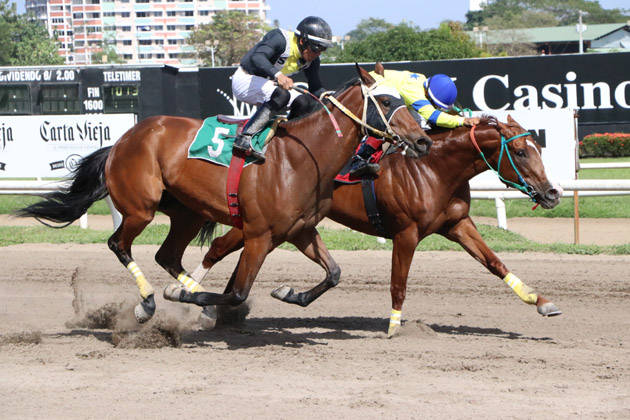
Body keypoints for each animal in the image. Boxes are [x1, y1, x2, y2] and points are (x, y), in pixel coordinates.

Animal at [18, 65, 434, 322]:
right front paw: (185, 299)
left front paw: (289, 294)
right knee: (119, 244)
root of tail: (122, 139)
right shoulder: (259, 235)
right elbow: (237, 292)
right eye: (386, 101)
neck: (304, 156)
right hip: (140, 207)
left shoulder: (299, 230)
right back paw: (148, 303)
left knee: (167, 255)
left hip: (189, 212)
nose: (423, 140)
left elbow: (333, 273)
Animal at [181, 113, 564, 336]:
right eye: (521, 152)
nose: (552, 193)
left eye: (538, 147)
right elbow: (399, 283)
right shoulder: (406, 233)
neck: (435, 168)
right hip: (264, 223)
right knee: (219, 247)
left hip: (280, 227)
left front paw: (541, 301)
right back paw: (200, 301)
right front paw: (394, 326)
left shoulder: (457, 224)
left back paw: (219, 310)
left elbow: (495, 263)